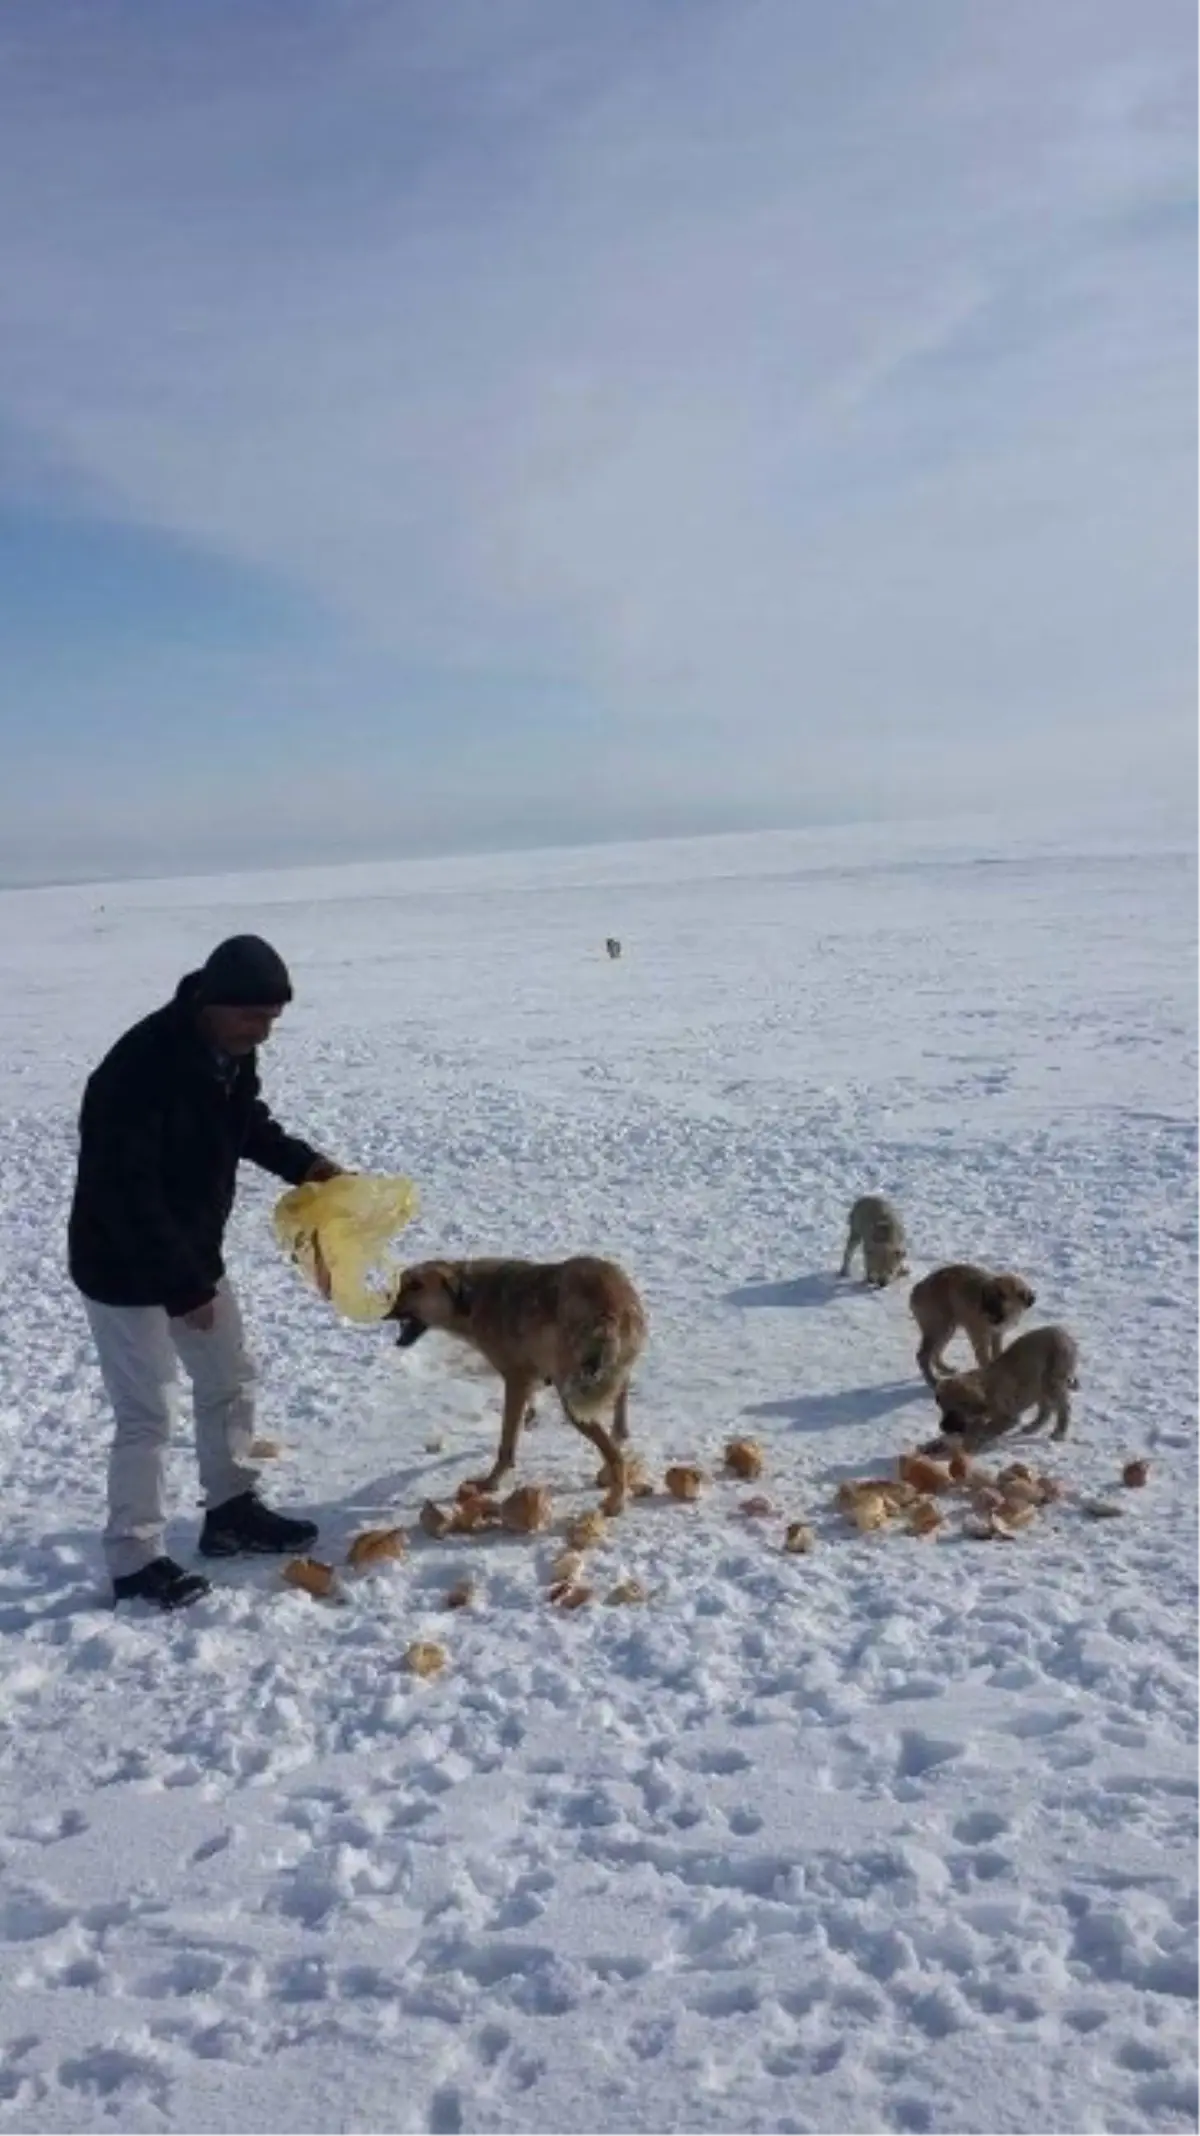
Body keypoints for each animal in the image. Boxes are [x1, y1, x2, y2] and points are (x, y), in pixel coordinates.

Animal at [382, 1255, 644, 1512]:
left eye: (416, 1286)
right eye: (402, 1286)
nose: (386, 1313)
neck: (471, 1298)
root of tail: (610, 1308)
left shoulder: (515, 1379)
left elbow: (507, 1444)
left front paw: (490, 1484)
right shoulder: (530, 1379)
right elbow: (525, 1414)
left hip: (573, 1399)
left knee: (616, 1455)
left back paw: (615, 1501)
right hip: (613, 1380)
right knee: (620, 1430)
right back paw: (608, 1475)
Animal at [909, 1255, 1033, 1392]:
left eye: (1002, 1296)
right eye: (987, 1296)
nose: (986, 1313)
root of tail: (916, 1289)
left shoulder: (997, 1334)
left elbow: (997, 1353)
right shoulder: (979, 1336)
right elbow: (984, 1359)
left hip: (947, 1329)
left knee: (935, 1352)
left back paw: (945, 1369)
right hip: (938, 1328)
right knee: (923, 1356)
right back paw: (932, 1380)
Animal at [935, 1315, 1076, 1452]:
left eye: (953, 1411)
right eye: (942, 1408)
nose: (942, 1427)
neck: (986, 1391)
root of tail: (1064, 1333)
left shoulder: (1009, 1417)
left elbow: (989, 1428)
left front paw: (979, 1439)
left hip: (1052, 1381)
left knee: (1064, 1407)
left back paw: (1059, 1432)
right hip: (1039, 1384)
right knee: (1046, 1408)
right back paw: (1033, 1427)